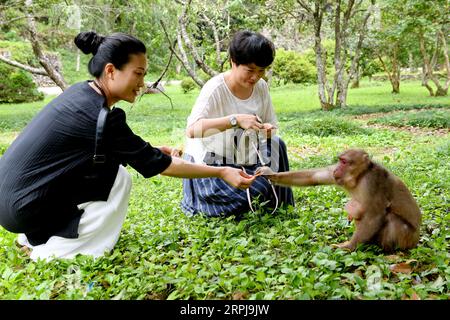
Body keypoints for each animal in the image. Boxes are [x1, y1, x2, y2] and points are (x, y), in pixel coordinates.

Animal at [256, 149, 422, 251]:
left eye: (344, 162)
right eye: (339, 161)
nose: (336, 169)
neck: (359, 177)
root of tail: (416, 239)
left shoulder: (374, 182)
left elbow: (375, 215)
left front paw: (348, 246)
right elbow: (314, 177)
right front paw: (269, 173)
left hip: (408, 238)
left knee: (391, 218)